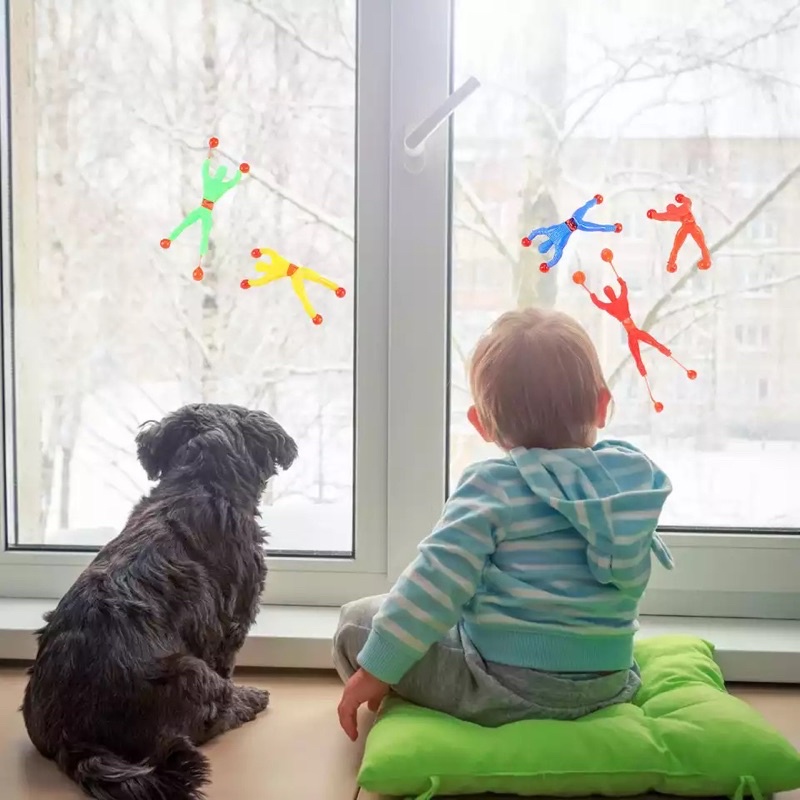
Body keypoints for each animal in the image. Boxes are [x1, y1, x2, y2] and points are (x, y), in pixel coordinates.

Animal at [22, 403, 298, 800]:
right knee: (212, 713)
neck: (198, 482)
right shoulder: (232, 622)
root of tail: (70, 739)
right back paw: (249, 700)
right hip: (190, 672)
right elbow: (226, 668)